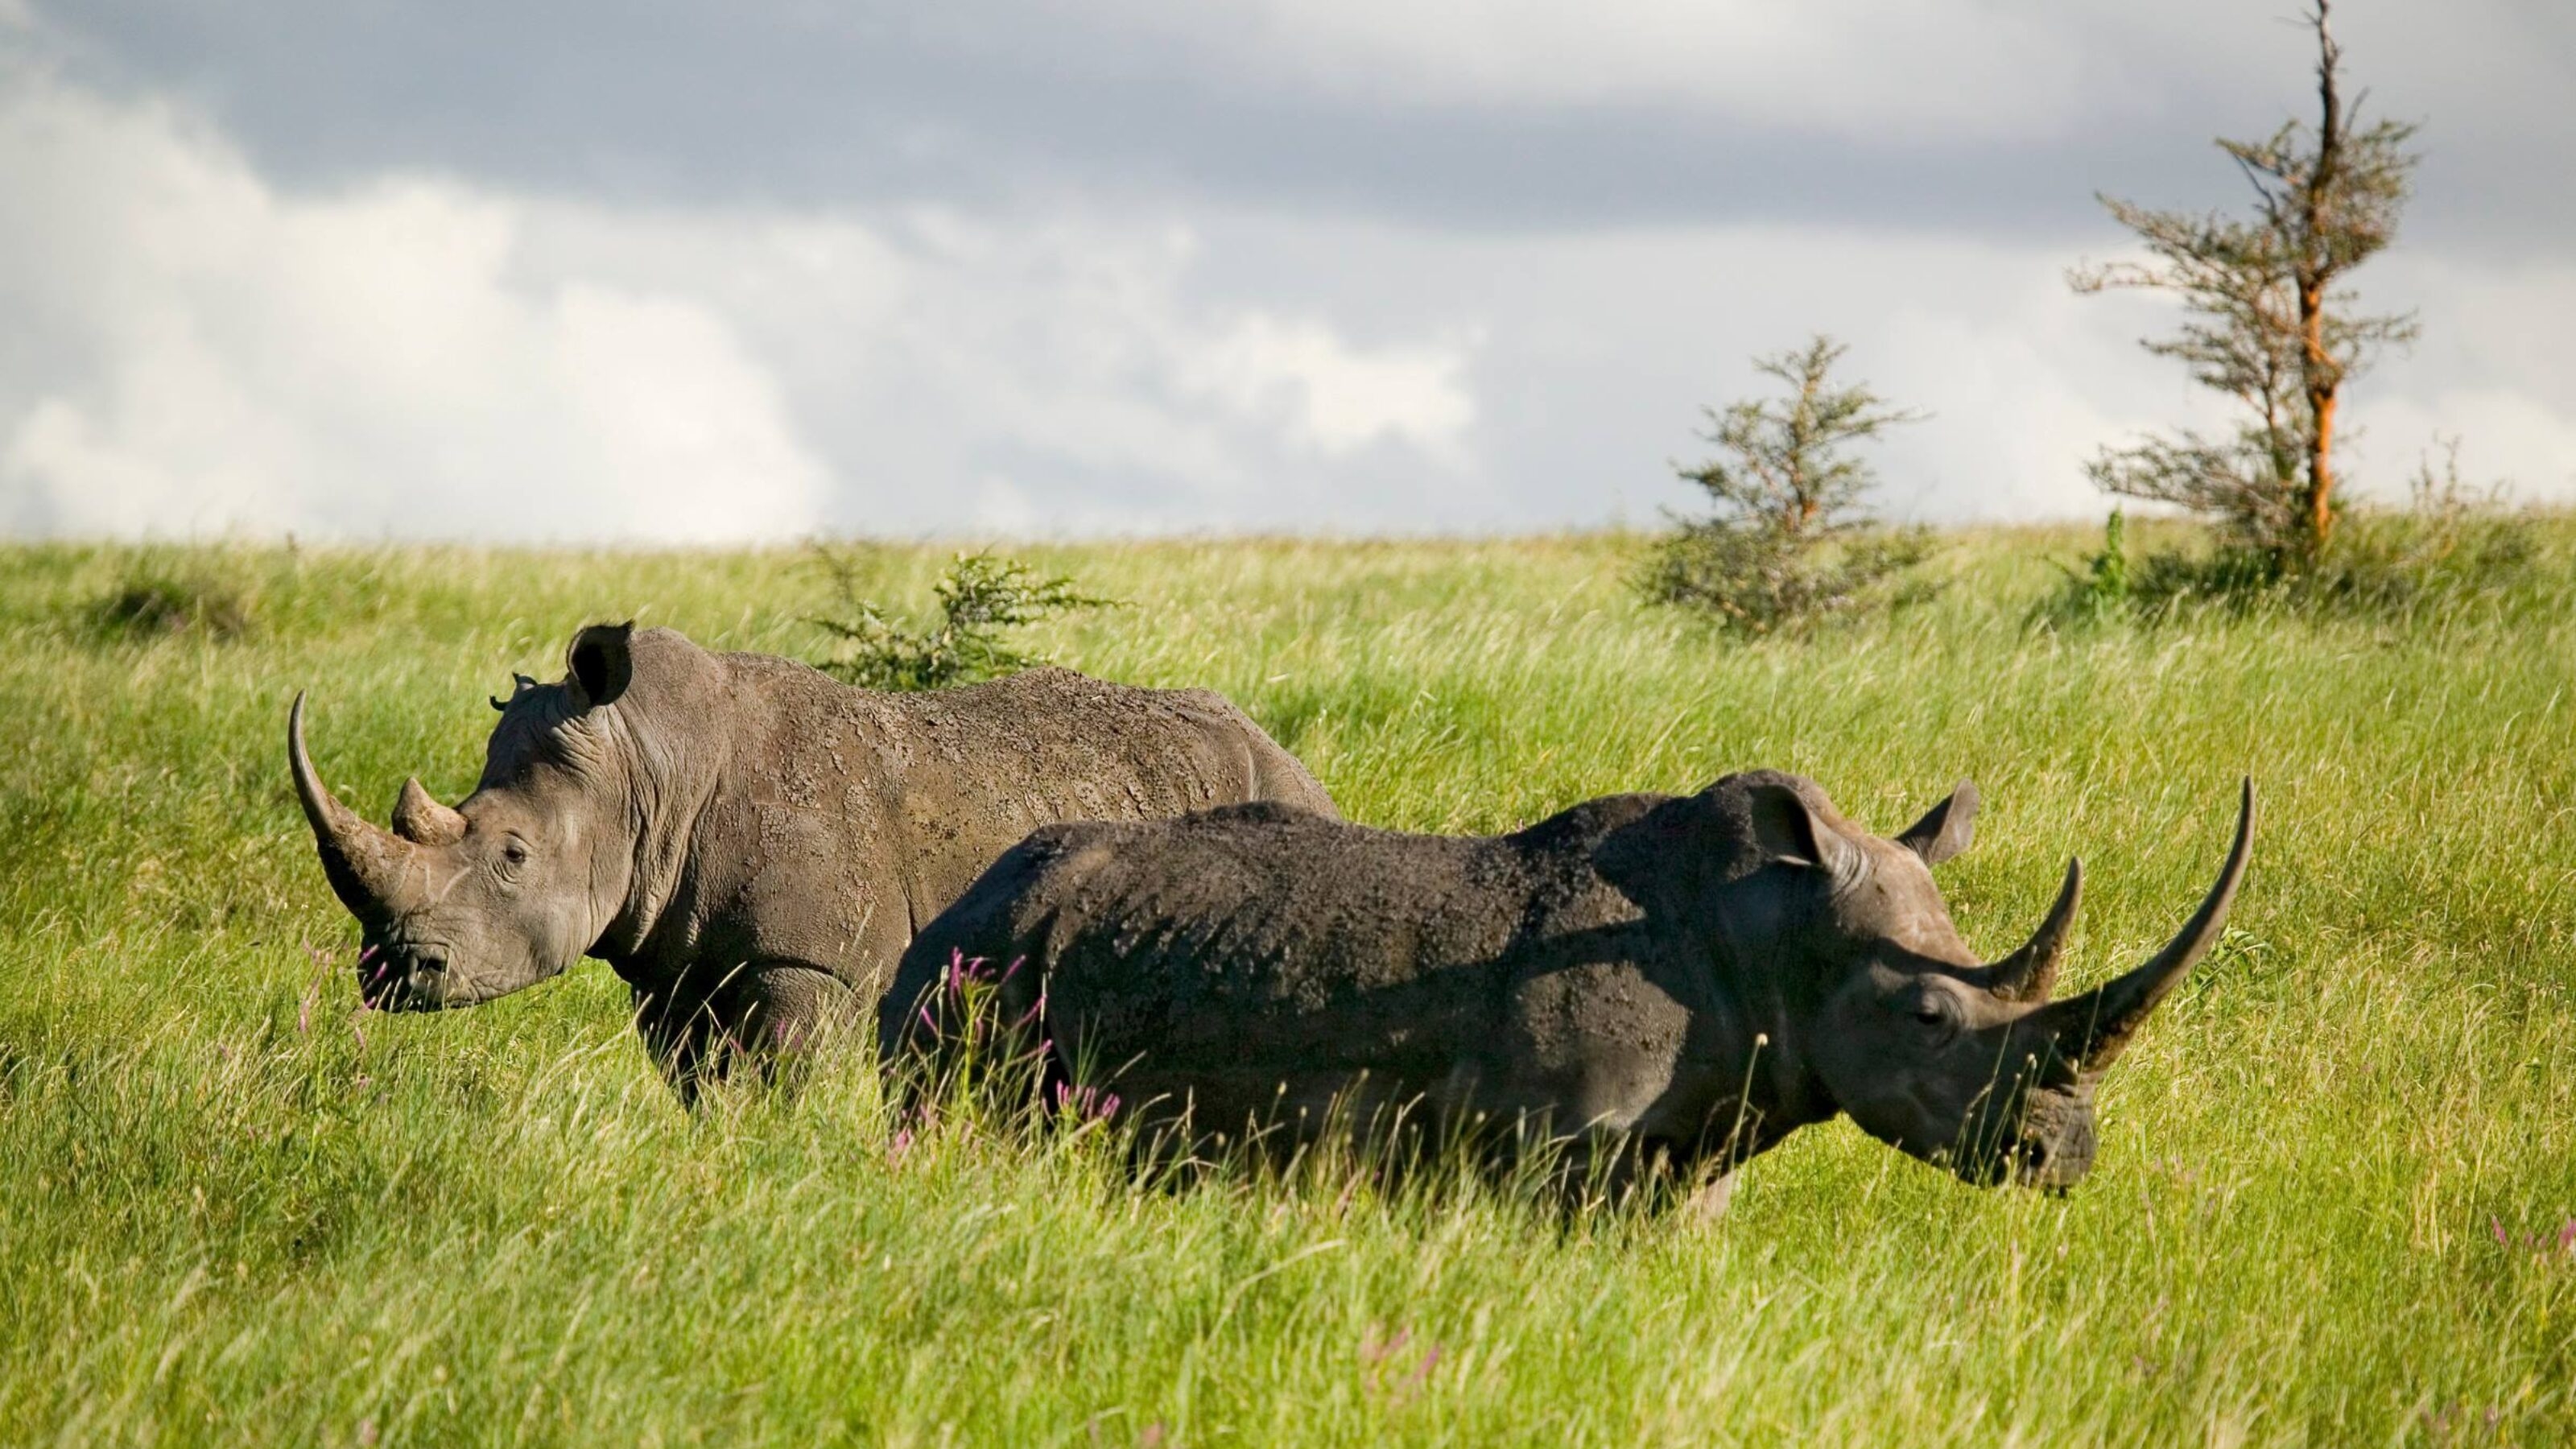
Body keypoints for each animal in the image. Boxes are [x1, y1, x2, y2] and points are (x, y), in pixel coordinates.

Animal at [289, 622, 1335, 1098]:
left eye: (511, 854)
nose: (392, 972)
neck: (649, 766)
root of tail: (1291, 757)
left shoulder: (809, 963)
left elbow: (788, 1088)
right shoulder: (675, 967)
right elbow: (702, 1091)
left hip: (1278, 798)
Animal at [880, 771, 2252, 1200]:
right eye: (1932, 1018)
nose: (2063, 1157)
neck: (1768, 929)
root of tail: (954, 898)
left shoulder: (1695, 1144)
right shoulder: (1555, 1145)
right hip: (969, 966)